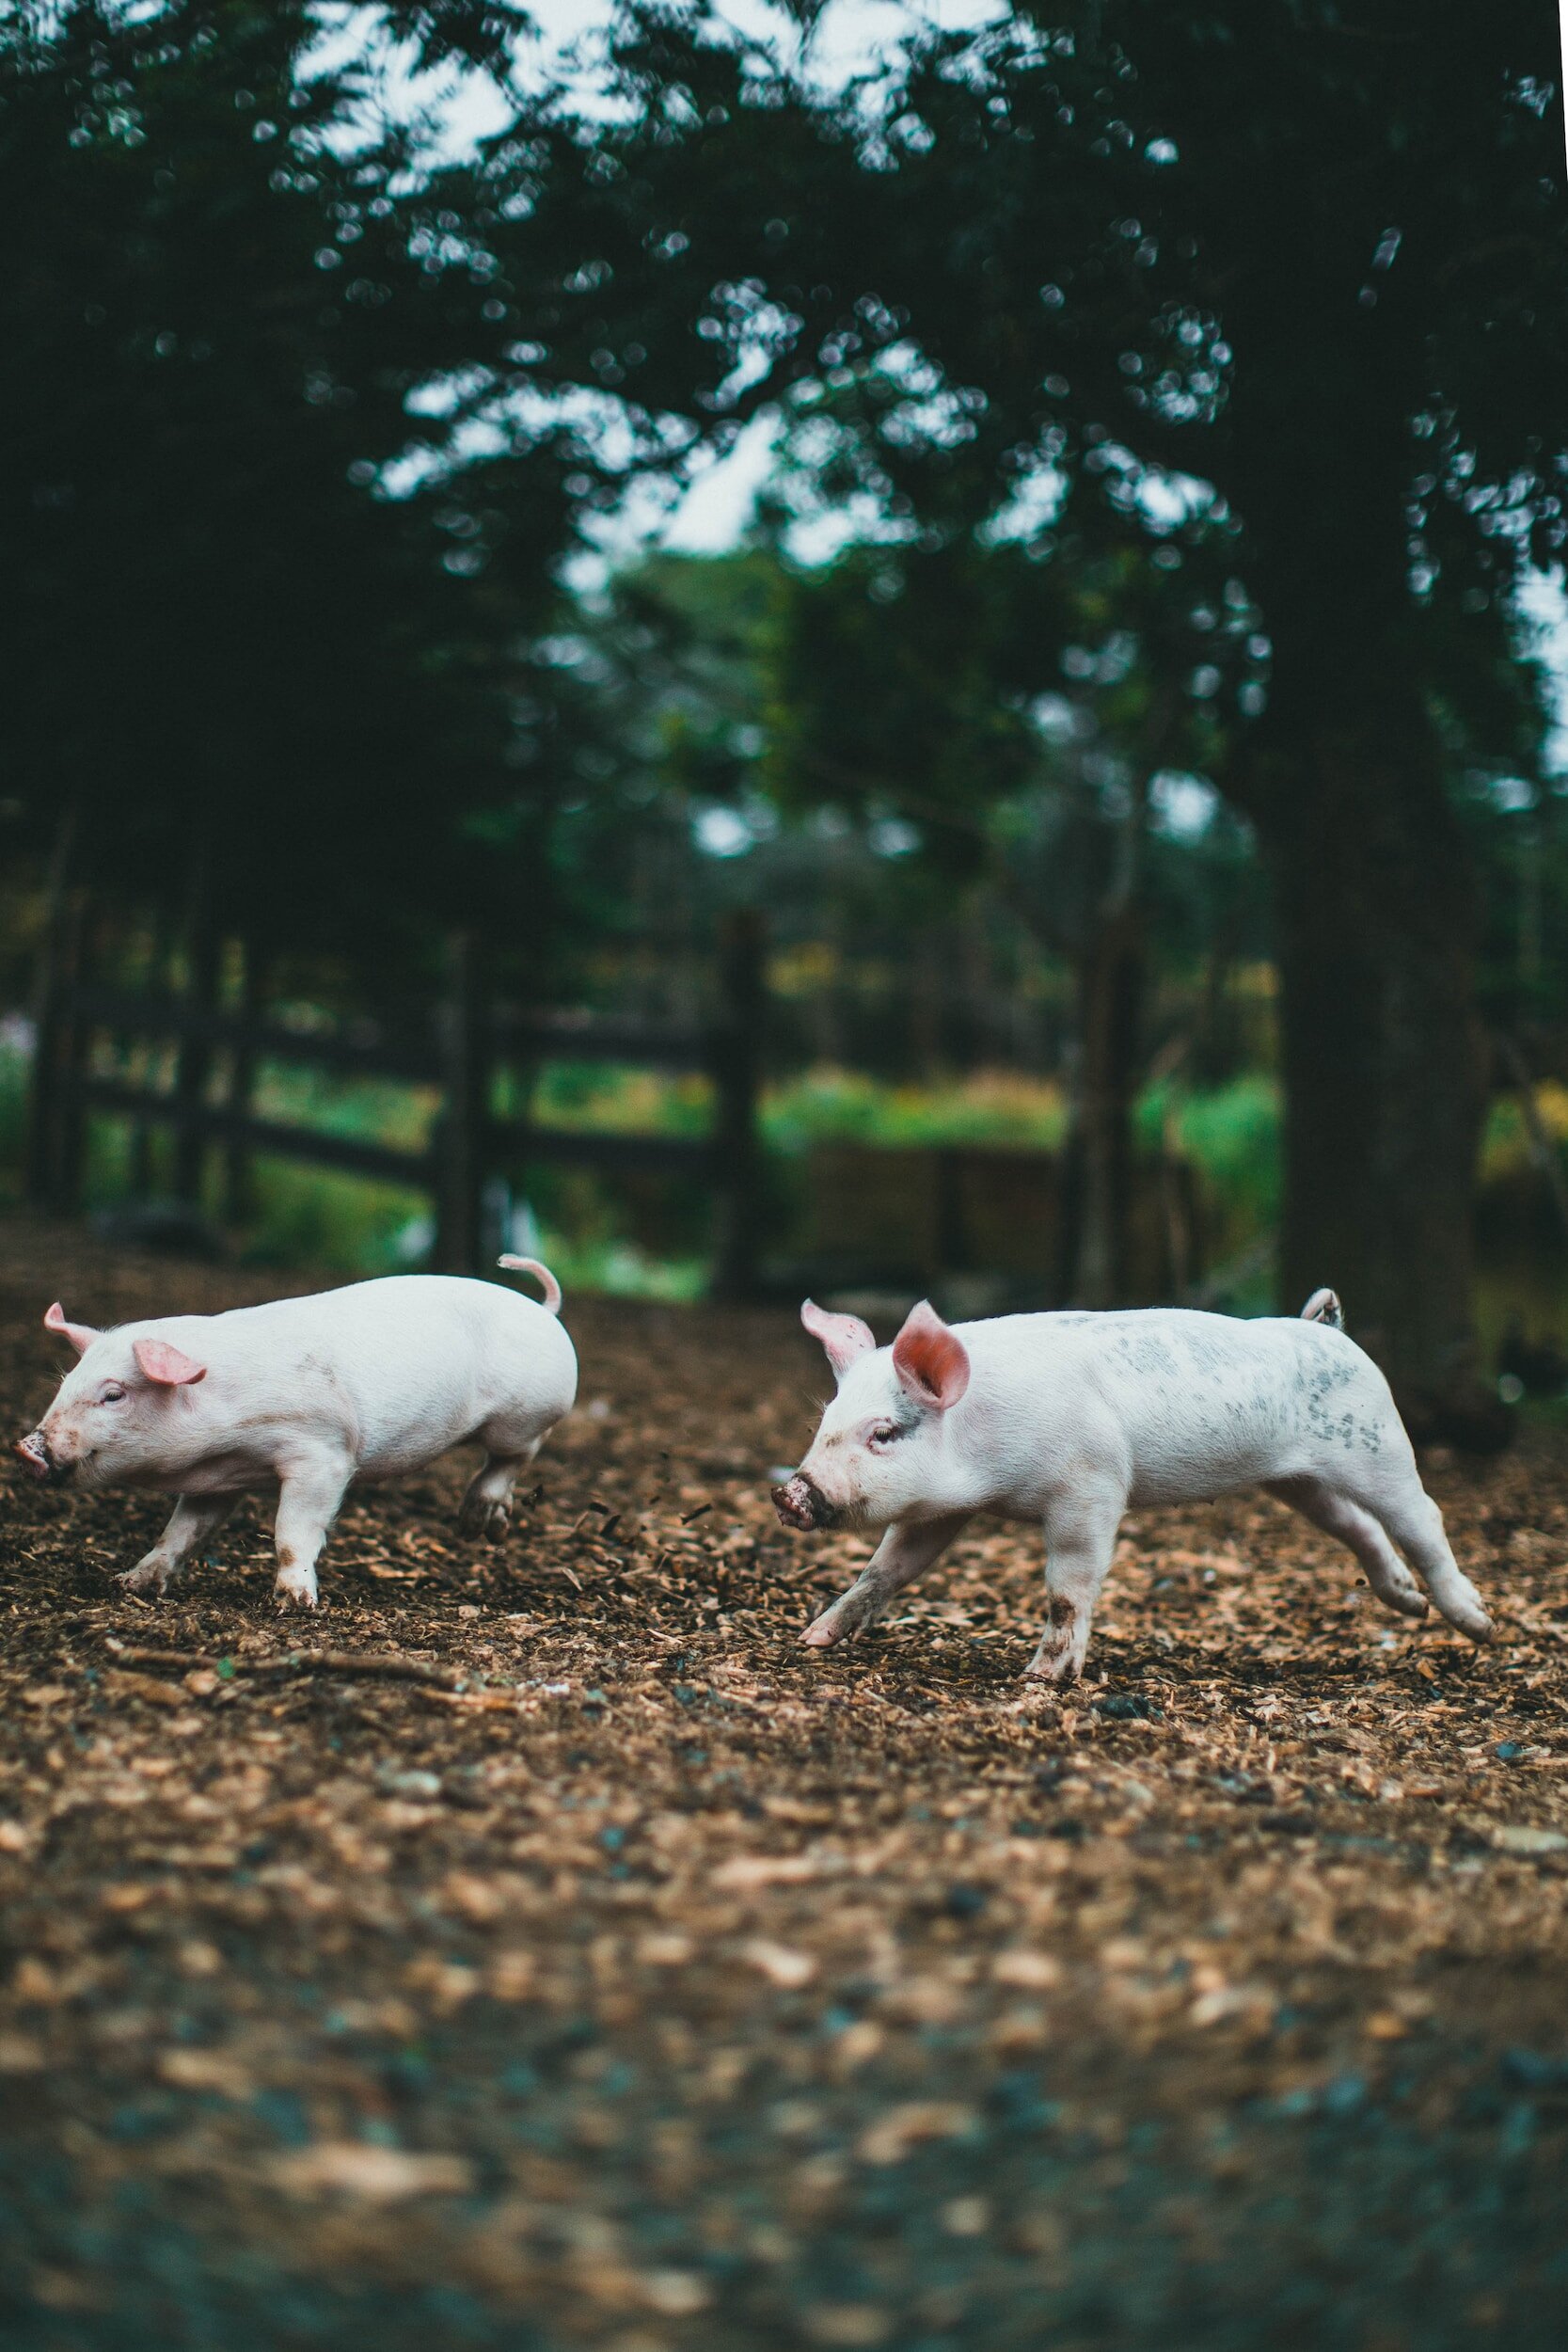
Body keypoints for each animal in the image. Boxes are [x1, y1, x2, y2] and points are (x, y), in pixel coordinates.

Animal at [15, 1257, 575, 1608]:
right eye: (66, 1383)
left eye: (114, 1395)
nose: (26, 1448)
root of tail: (544, 1311)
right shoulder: (216, 1482)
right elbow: (180, 1533)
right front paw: (130, 1585)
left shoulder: (324, 1453)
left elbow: (292, 1529)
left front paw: (293, 1604)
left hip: (523, 1417)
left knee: (516, 1456)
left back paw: (480, 1524)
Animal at [772, 1290, 1491, 1682]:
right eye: (825, 1422)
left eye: (884, 1432)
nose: (791, 1492)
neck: (985, 1466)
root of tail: (1328, 1330)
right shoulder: (938, 1510)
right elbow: (887, 1569)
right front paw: (812, 1639)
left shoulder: (1090, 1486)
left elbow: (1068, 1587)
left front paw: (1040, 1678)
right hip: (1297, 1481)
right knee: (1357, 1525)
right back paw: (1409, 1605)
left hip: (1376, 1445)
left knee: (1422, 1517)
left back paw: (1478, 1625)